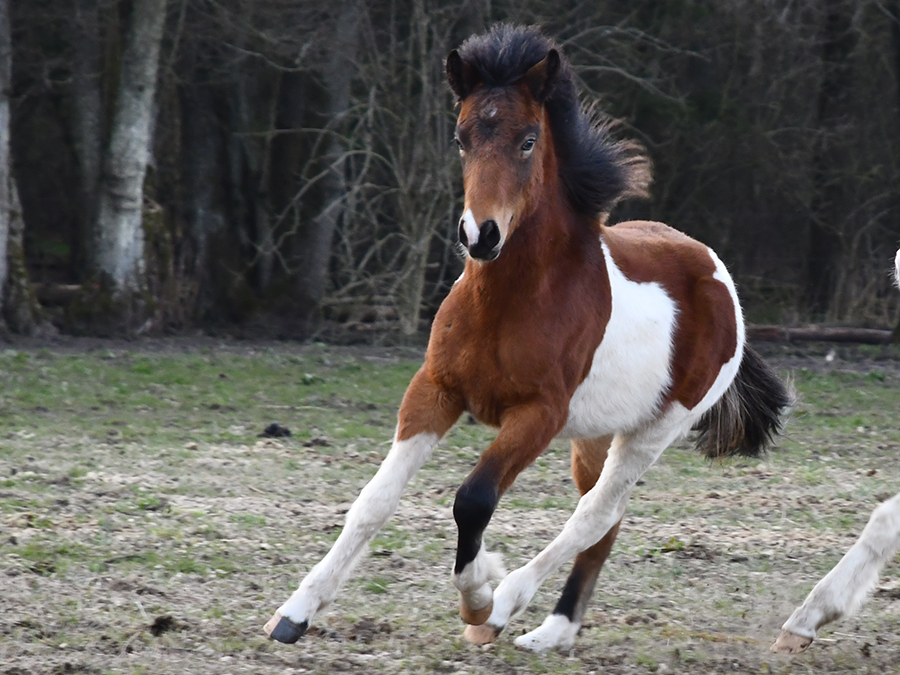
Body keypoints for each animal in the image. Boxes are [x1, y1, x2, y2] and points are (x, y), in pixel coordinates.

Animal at [266, 26, 788, 656]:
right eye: (461, 138)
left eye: (528, 140)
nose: (480, 235)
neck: (509, 303)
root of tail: (717, 275)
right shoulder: (435, 391)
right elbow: (373, 502)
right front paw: (294, 614)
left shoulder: (537, 414)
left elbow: (473, 499)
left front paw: (479, 595)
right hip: (593, 434)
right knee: (603, 516)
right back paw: (554, 631)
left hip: (653, 430)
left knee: (595, 512)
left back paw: (506, 609)